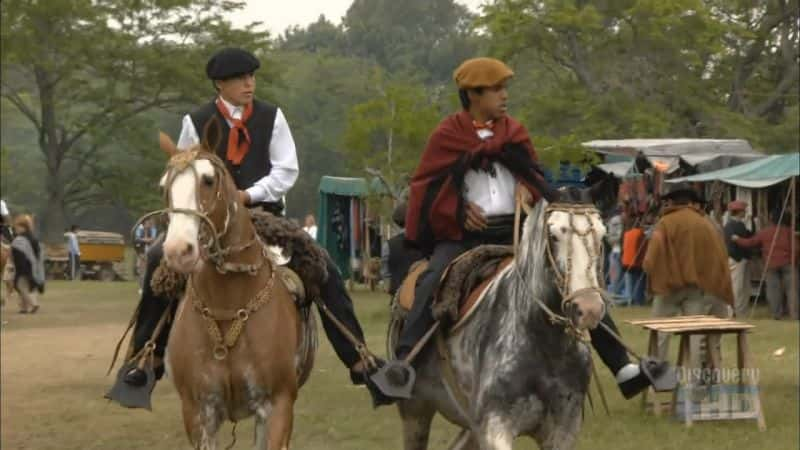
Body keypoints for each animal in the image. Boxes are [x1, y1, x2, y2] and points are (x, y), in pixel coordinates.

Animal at [156, 134, 310, 450]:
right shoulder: (198, 412)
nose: (178, 251)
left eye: (208, 179)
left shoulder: (278, 405)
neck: (227, 306)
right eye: (164, 187)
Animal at [388, 200, 608, 450]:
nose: (589, 308)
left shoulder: (563, 429)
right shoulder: (495, 425)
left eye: (602, 235)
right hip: (415, 412)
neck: (544, 344)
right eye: (553, 236)